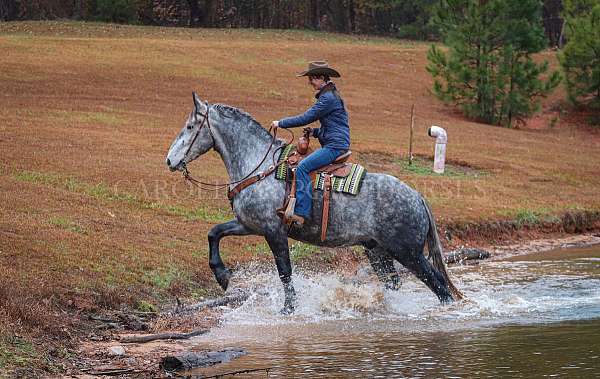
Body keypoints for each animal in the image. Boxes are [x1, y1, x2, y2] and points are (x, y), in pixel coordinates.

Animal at [166, 93, 462, 314]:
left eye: (190, 127)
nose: (169, 160)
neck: (259, 166)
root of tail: (418, 197)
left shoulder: (273, 231)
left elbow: (285, 271)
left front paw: (289, 308)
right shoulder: (249, 224)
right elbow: (214, 232)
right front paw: (222, 275)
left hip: (409, 253)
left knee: (440, 287)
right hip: (378, 252)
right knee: (395, 283)